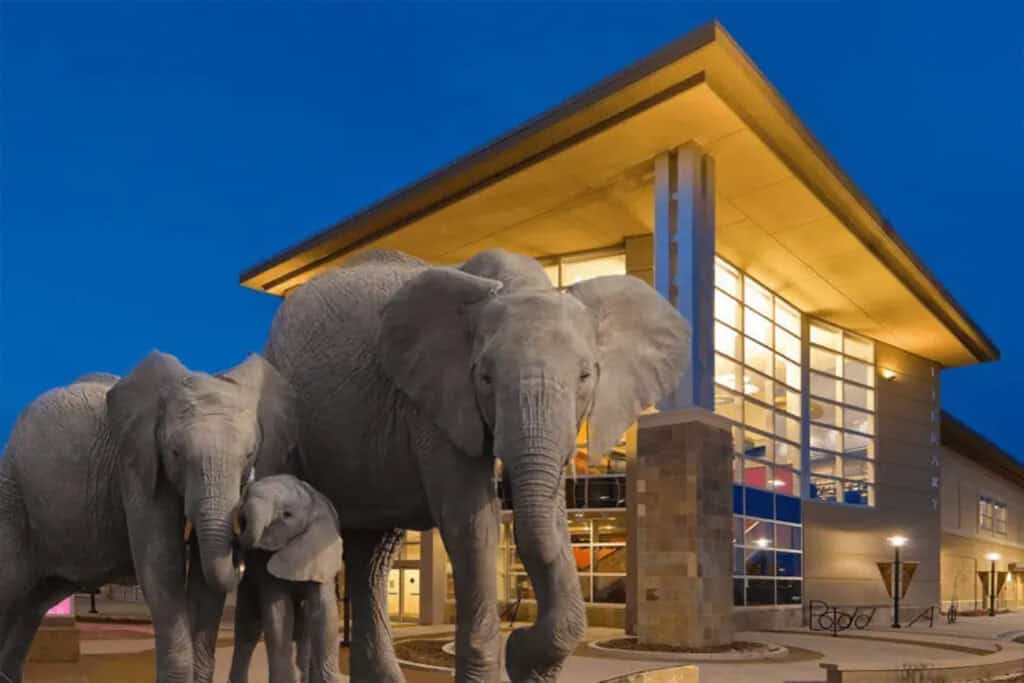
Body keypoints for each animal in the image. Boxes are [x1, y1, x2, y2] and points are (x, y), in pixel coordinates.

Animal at [0, 352, 296, 683]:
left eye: (249, 455)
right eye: (176, 453)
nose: (242, 544)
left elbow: (205, 583)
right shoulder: (137, 468)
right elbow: (162, 565)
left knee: (33, 603)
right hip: (13, 494)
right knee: (10, 586)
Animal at [228, 475, 344, 683]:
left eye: (287, 515)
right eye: (246, 495)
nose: (237, 530)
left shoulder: (319, 549)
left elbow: (323, 612)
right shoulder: (262, 562)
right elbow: (278, 613)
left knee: (304, 629)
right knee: (248, 628)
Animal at [264, 248, 688, 679]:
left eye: (585, 376)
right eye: (484, 378)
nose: (519, 628)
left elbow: (548, 519)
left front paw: (528, 661)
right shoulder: (434, 404)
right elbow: (471, 520)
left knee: (372, 556)